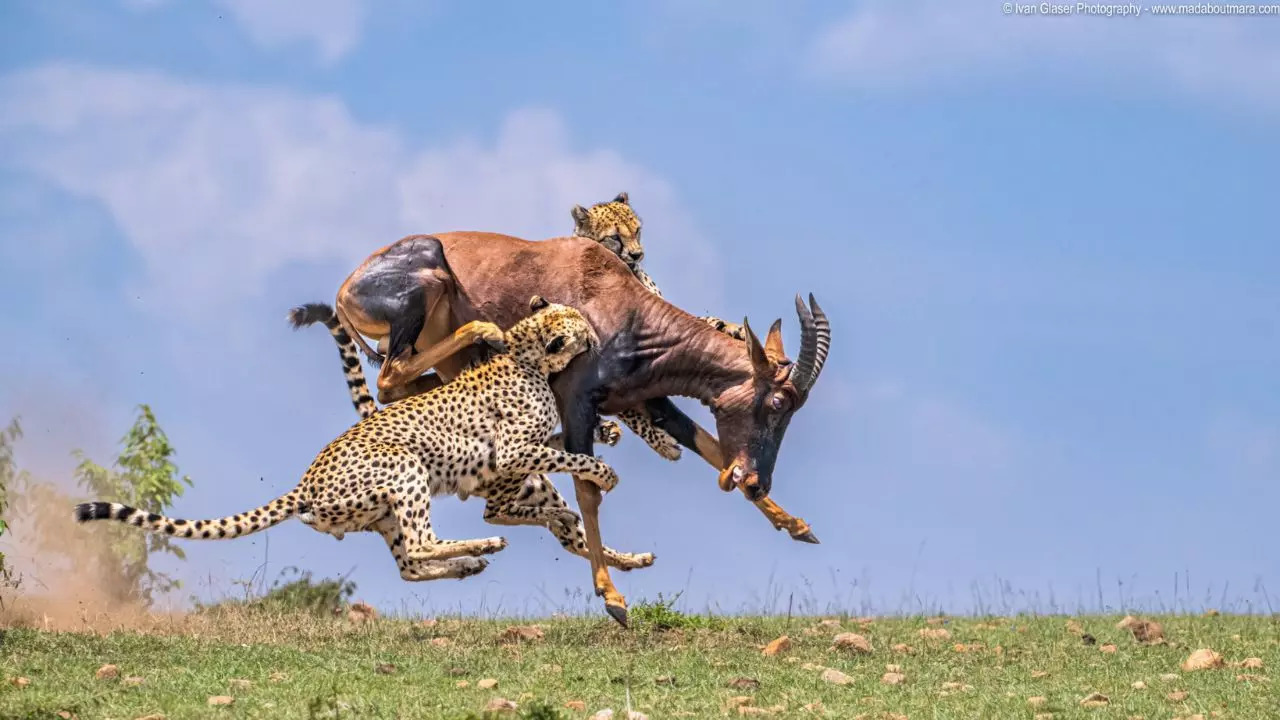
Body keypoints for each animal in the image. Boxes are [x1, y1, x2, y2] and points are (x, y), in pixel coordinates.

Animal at [72, 295, 650, 576]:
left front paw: (608, 432)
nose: (598, 336)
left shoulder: (519, 456)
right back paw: (483, 544)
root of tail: (305, 484)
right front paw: (605, 469)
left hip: (380, 513)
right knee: (428, 540)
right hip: (404, 468)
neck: (526, 354)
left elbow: (557, 449)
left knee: (412, 561)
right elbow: (567, 457)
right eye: (581, 329)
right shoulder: (510, 452)